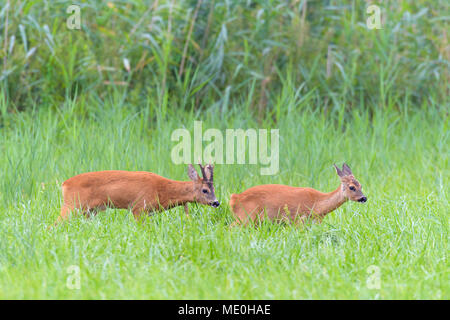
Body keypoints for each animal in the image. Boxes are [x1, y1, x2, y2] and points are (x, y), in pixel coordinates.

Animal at [53, 162, 219, 225]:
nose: (216, 202)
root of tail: (64, 184)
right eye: (205, 190)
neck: (162, 192)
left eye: (214, 189)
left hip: (89, 211)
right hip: (72, 205)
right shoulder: (139, 207)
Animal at [229, 164, 366, 226]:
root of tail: (234, 199)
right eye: (352, 187)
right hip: (246, 216)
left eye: (361, 185)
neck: (318, 204)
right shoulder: (299, 220)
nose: (364, 198)